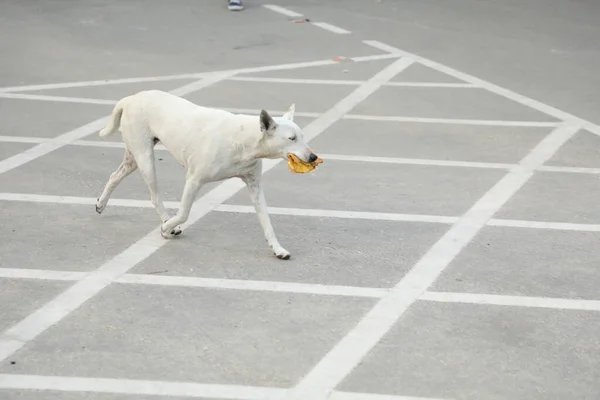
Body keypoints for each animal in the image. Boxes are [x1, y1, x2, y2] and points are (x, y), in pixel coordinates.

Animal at [95, 90, 318, 260]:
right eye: (291, 138)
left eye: (302, 137)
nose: (313, 156)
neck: (243, 140)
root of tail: (131, 98)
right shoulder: (194, 180)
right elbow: (183, 213)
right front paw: (167, 227)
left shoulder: (254, 185)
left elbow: (266, 221)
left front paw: (278, 249)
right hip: (145, 158)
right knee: (154, 195)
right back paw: (165, 220)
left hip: (133, 158)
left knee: (115, 176)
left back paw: (101, 203)